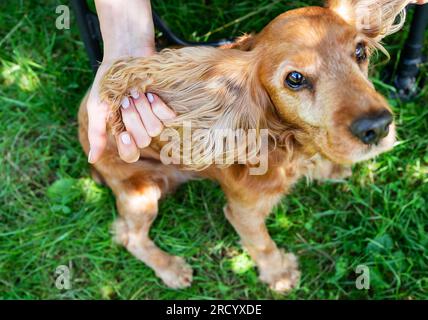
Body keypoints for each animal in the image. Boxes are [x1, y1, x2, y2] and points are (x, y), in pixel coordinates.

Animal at [77, 0, 408, 292]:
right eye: (295, 78)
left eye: (360, 51)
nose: (378, 126)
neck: (287, 143)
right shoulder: (243, 211)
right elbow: (262, 243)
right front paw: (279, 274)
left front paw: (330, 168)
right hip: (141, 192)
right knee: (129, 237)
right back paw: (170, 268)